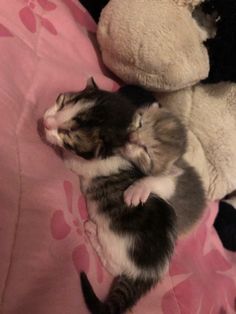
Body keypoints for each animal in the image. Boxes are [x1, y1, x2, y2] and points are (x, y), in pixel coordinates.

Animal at [43, 78, 178, 314]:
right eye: (60, 102)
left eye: (68, 134)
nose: (46, 122)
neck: (118, 146)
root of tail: (150, 272)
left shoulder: (88, 165)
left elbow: (72, 161)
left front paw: (58, 149)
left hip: (115, 243)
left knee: (112, 265)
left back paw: (91, 231)